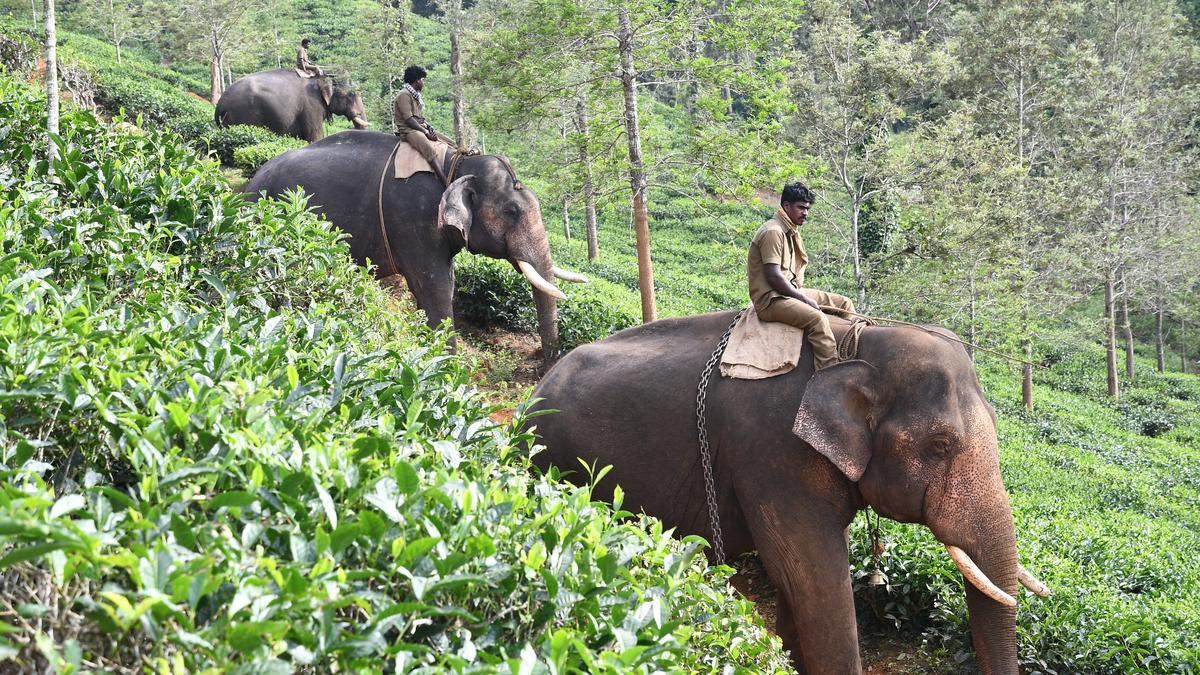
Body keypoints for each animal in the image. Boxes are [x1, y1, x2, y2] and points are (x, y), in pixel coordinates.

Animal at [215, 69, 368, 143]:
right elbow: (315, 135)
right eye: (351, 94)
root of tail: (219, 105)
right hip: (241, 115)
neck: (322, 77)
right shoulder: (311, 105)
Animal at [244, 129, 587, 359]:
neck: (456, 165)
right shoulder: (414, 219)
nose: (545, 363)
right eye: (512, 211)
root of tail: (248, 184)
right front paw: (446, 366)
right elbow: (434, 286)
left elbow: (444, 285)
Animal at [527, 311, 1049, 674]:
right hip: (554, 464)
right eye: (940, 445)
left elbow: (797, 584)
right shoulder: (773, 455)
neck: (856, 344)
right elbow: (812, 578)